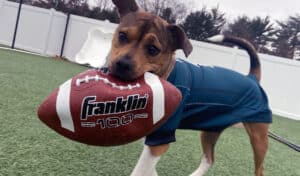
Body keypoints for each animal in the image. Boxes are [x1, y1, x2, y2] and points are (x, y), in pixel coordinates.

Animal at [108, 0, 272, 175]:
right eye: (122, 36)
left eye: (153, 50)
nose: (122, 64)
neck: (165, 77)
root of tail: (252, 78)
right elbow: (149, 170)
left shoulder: (160, 139)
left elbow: (140, 170)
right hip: (210, 130)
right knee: (209, 159)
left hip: (259, 138)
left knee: (259, 169)